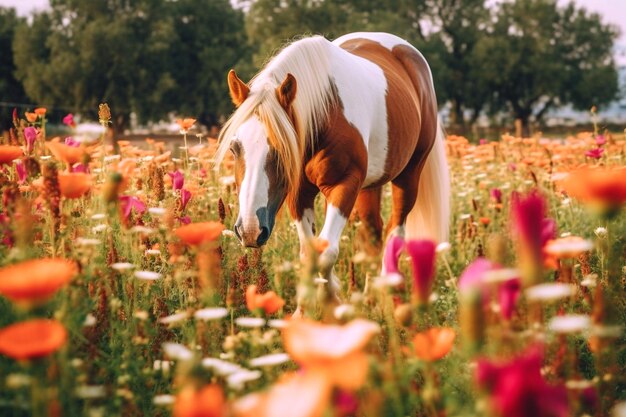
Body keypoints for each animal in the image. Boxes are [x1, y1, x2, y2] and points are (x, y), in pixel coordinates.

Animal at [216, 30, 448, 306]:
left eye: (283, 149)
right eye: (234, 148)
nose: (250, 231)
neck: (326, 111)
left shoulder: (344, 185)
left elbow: (326, 251)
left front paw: (332, 303)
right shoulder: (300, 194)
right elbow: (309, 253)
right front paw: (306, 308)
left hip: (409, 175)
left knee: (396, 230)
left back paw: (389, 293)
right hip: (370, 185)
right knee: (373, 232)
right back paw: (369, 296)